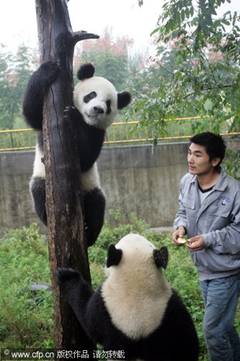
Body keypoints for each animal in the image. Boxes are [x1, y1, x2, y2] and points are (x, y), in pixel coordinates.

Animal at [23, 62, 131, 248]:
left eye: (108, 104)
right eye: (92, 94)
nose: (98, 109)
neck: (87, 121)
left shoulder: (98, 132)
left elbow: (86, 158)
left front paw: (73, 118)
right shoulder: (44, 123)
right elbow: (32, 115)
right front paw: (48, 69)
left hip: (91, 189)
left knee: (97, 204)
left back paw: (89, 234)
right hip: (43, 177)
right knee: (38, 189)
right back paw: (47, 216)